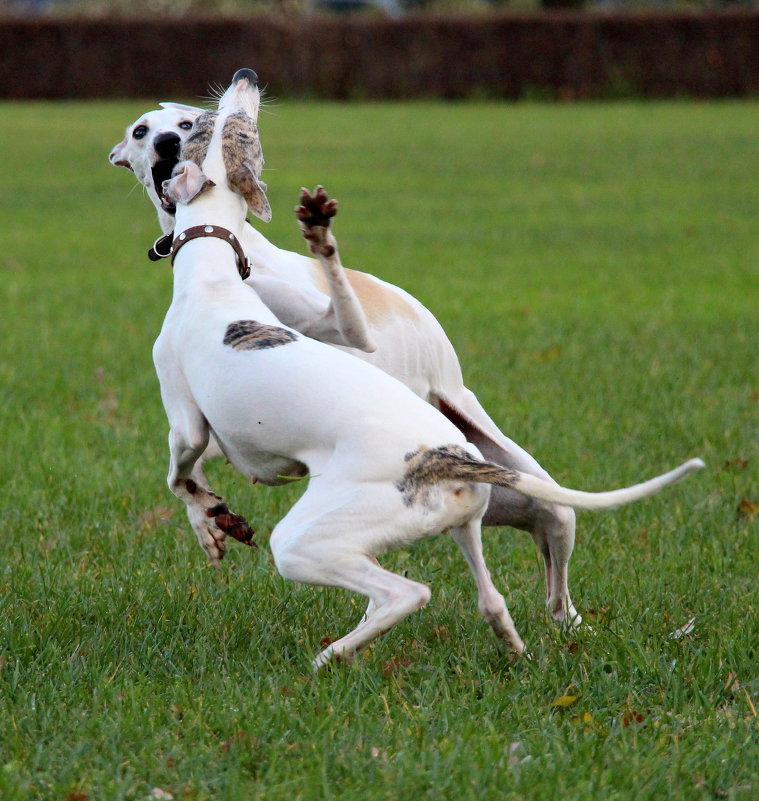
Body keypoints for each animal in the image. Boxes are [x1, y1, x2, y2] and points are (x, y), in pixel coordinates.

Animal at [154, 70, 708, 668]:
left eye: (208, 129)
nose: (245, 78)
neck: (213, 271)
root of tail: (451, 458)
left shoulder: (184, 419)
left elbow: (181, 470)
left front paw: (211, 516)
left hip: (308, 539)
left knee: (407, 593)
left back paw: (332, 657)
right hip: (468, 521)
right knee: (493, 599)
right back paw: (511, 644)